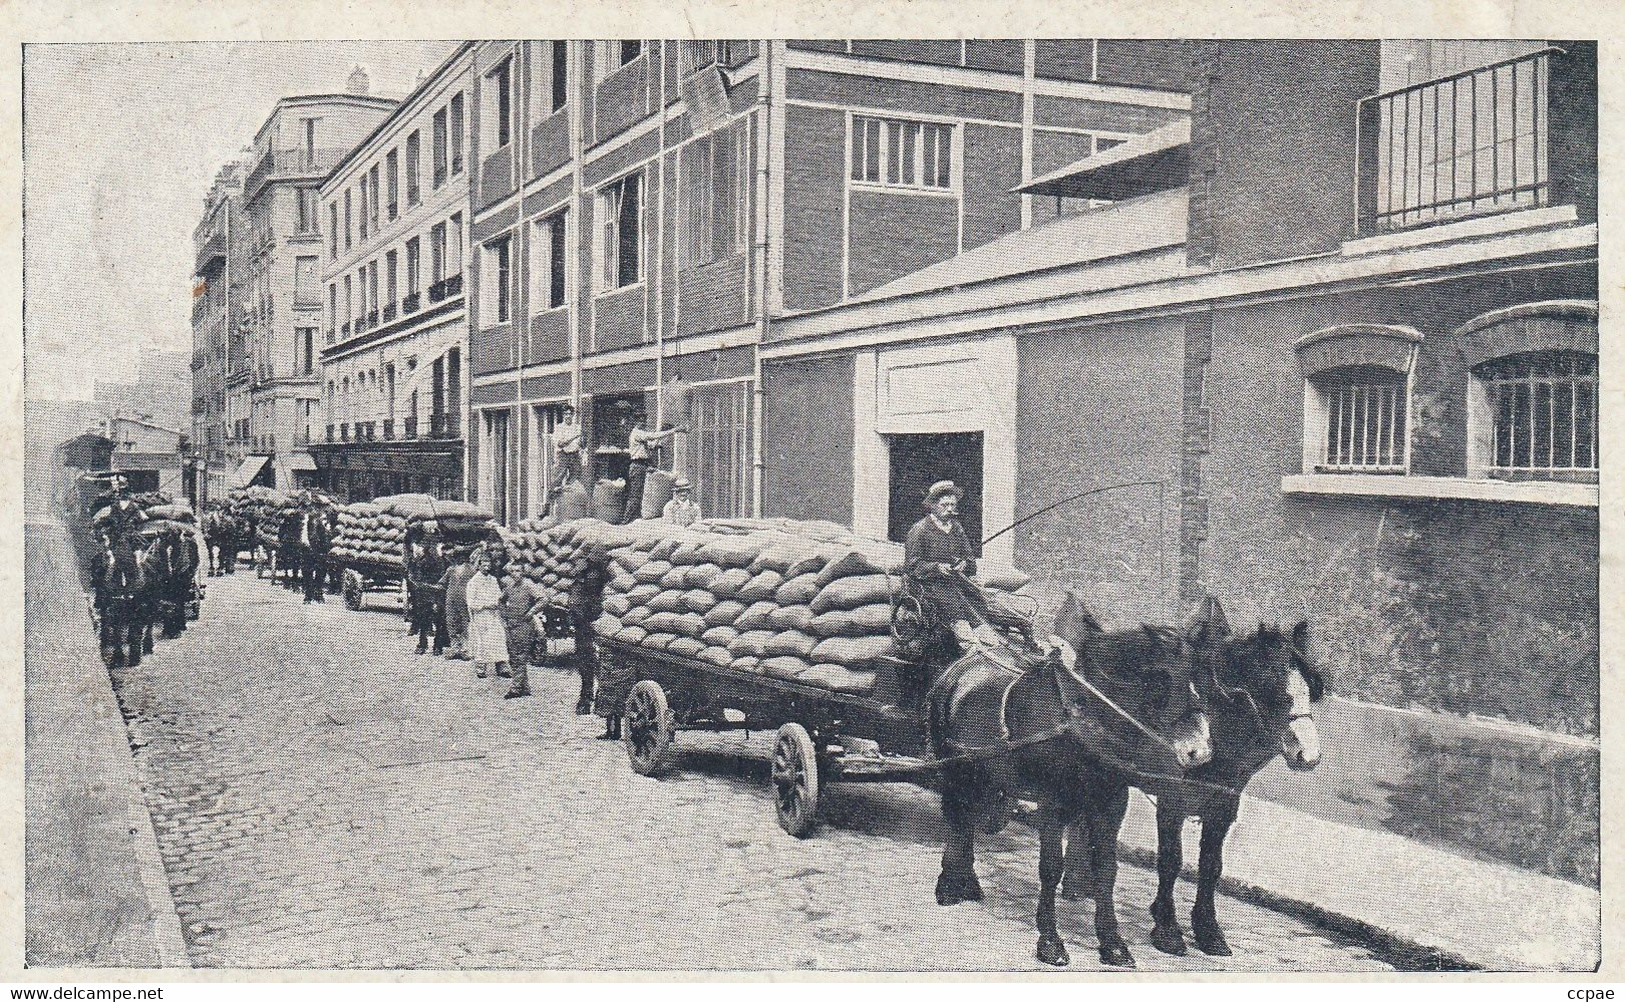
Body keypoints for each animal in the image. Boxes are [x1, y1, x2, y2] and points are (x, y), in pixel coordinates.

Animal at [936, 591, 1215, 967]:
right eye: (1160, 679)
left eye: (1201, 678)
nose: (1196, 751)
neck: (1081, 715)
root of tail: (962, 665)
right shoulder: (1052, 800)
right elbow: (1051, 867)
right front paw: (1050, 941)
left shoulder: (1111, 802)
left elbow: (1107, 870)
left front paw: (1113, 943)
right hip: (953, 766)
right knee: (955, 816)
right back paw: (948, 886)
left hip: (984, 774)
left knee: (967, 819)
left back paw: (967, 882)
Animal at [1059, 594, 1326, 954]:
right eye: (1276, 692)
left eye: (1310, 690)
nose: (1308, 756)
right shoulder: (1173, 798)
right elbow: (1171, 860)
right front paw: (1167, 927)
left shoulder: (1223, 806)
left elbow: (1211, 866)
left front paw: (1208, 929)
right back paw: (1077, 883)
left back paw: (1079, 884)